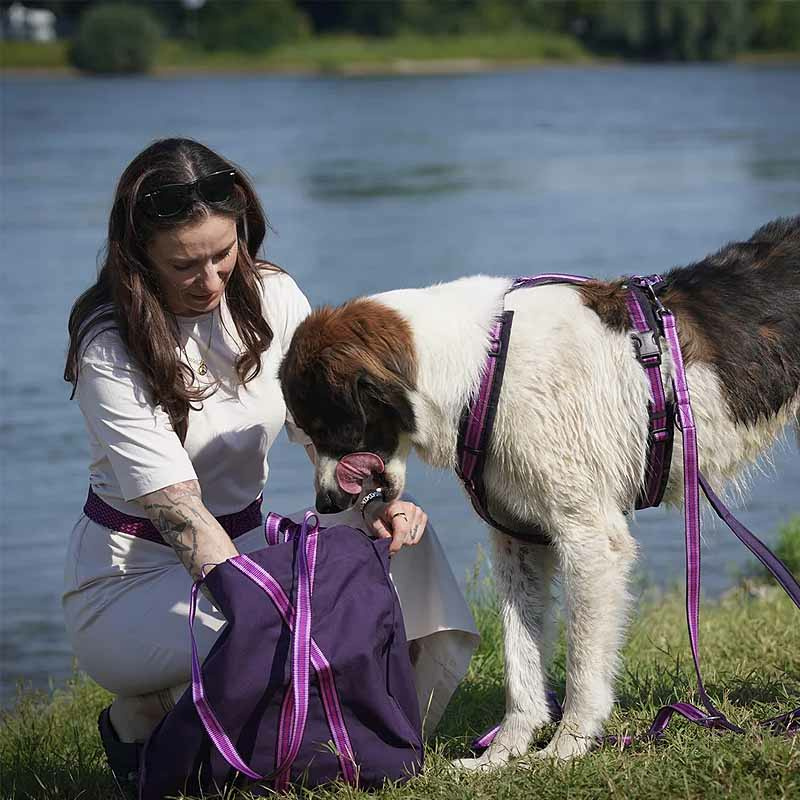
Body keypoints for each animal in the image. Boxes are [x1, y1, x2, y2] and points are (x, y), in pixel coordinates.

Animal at [278, 217, 800, 764]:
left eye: (327, 430)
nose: (324, 505)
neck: (484, 370)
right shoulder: (518, 538)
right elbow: (520, 658)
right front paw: (503, 753)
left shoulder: (589, 538)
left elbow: (583, 664)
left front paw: (567, 746)